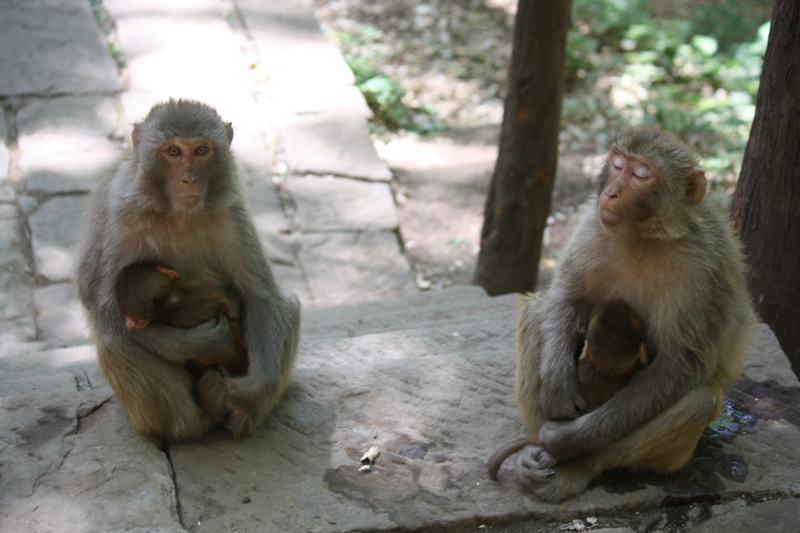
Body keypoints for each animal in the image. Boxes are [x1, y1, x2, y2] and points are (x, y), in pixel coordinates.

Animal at [76, 97, 300, 438]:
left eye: (201, 151)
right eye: (173, 152)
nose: (189, 179)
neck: (179, 214)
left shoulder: (231, 212)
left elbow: (260, 295)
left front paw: (251, 390)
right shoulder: (123, 215)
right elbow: (106, 311)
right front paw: (199, 343)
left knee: (288, 303)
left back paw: (240, 417)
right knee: (115, 343)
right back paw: (199, 419)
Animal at [512, 127, 756, 500]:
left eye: (640, 175)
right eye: (617, 165)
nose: (611, 192)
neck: (643, 236)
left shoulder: (704, 270)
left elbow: (678, 365)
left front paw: (568, 438)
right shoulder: (592, 225)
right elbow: (567, 300)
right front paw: (557, 390)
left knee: (702, 398)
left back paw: (575, 463)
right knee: (536, 311)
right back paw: (537, 448)